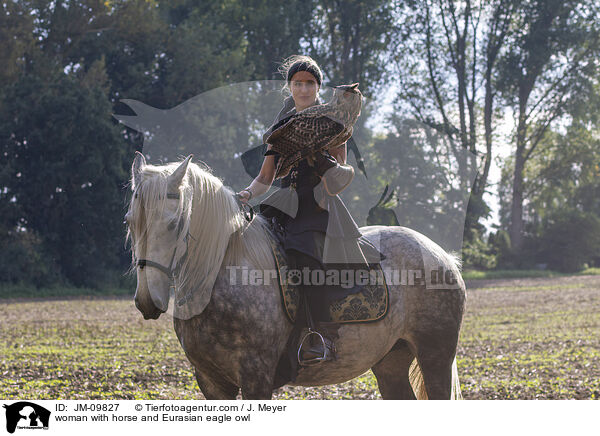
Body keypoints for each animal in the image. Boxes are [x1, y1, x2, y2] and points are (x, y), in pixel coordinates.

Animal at [125, 152, 464, 398]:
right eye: (130, 221)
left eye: (174, 223)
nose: (148, 299)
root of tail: (442, 254)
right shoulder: (211, 382)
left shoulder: (256, 379)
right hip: (391, 361)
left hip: (435, 357)